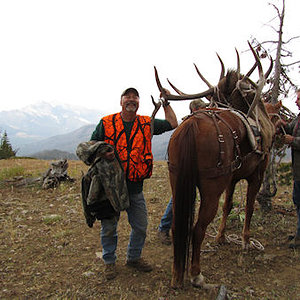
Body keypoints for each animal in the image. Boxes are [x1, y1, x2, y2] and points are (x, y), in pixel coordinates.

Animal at [155, 44, 282, 288]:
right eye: (250, 90)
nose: (273, 127)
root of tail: (192, 126)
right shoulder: (258, 172)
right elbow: (249, 206)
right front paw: (245, 240)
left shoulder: (232, 176)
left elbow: (229, 205)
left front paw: (222, 237)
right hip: (211, 187)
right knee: (197, 228)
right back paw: (195, 274)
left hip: (177, 178)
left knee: (178, 226)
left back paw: (176, 275)